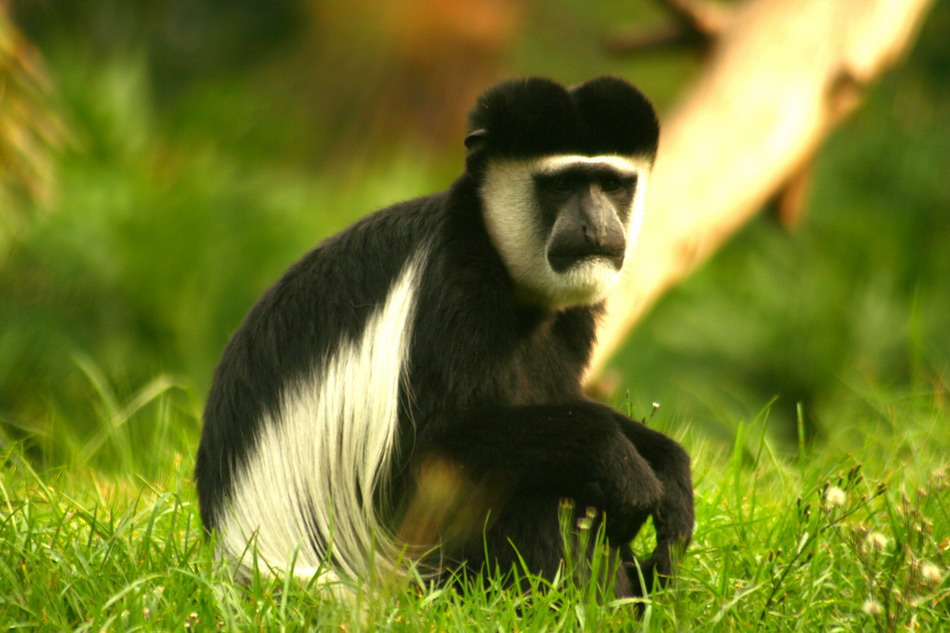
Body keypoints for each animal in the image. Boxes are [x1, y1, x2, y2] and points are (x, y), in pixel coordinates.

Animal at [195, 76, 694, 597]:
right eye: (560, 185)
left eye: (612, 184)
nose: (595, 227)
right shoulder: (453, 287)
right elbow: (435, 447)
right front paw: (616, 461)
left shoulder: (570, 319)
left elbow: (567, 399)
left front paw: (670, 469)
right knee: (524, 488)